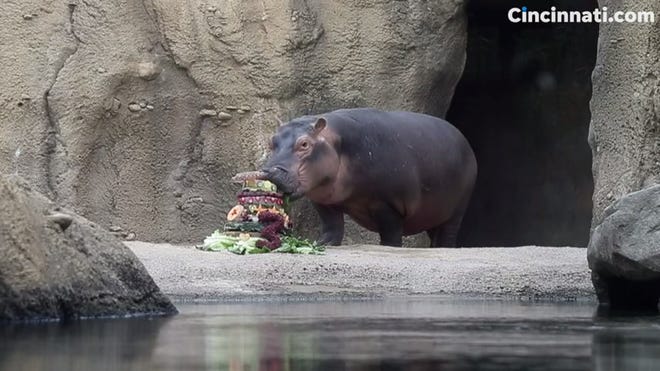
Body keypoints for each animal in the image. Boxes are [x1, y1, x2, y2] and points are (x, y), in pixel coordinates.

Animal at [260, 107, 476, 247]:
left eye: (304, 144)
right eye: (272, 140)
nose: (269, 171)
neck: (337, 143)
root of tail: (464, 141)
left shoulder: (388, 204)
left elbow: (390, 232)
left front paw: (389, 247)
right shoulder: (322, 198)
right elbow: (332, 224)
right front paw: (322, 243)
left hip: (457, 209)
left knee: (448, 235)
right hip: (434, 213)